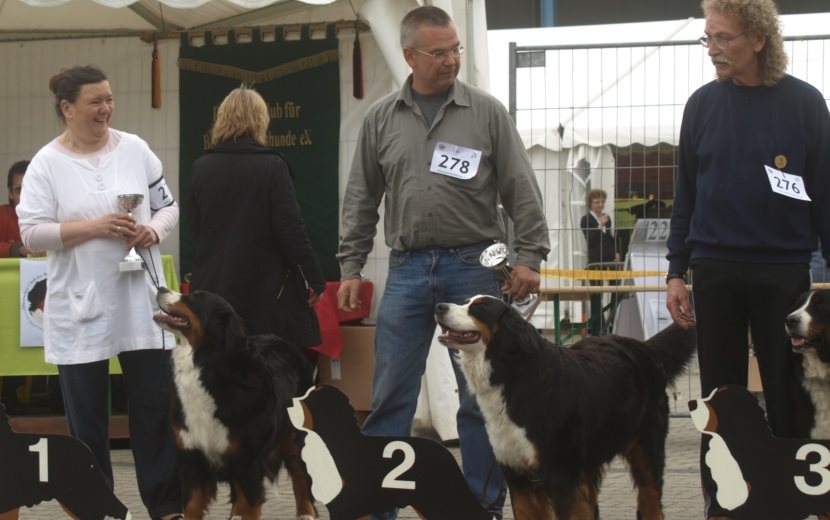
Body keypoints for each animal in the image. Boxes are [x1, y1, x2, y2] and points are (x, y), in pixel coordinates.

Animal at [153, 286, 318, 520]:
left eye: (194, 297)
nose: (161, 288)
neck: (205, 366)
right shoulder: (192, 458)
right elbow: (192, 507)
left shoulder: (246, 461)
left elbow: (249, 504)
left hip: (295, 437)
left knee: (300, 474)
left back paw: (306, 513)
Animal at [438, 294, 700, 516]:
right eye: (465, 302)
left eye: (477, 308)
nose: (440, 306)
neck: (514, 375)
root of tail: (644, 346)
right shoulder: (518, 475)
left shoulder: (561, 474)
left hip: (646, 447)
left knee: (650, 500)